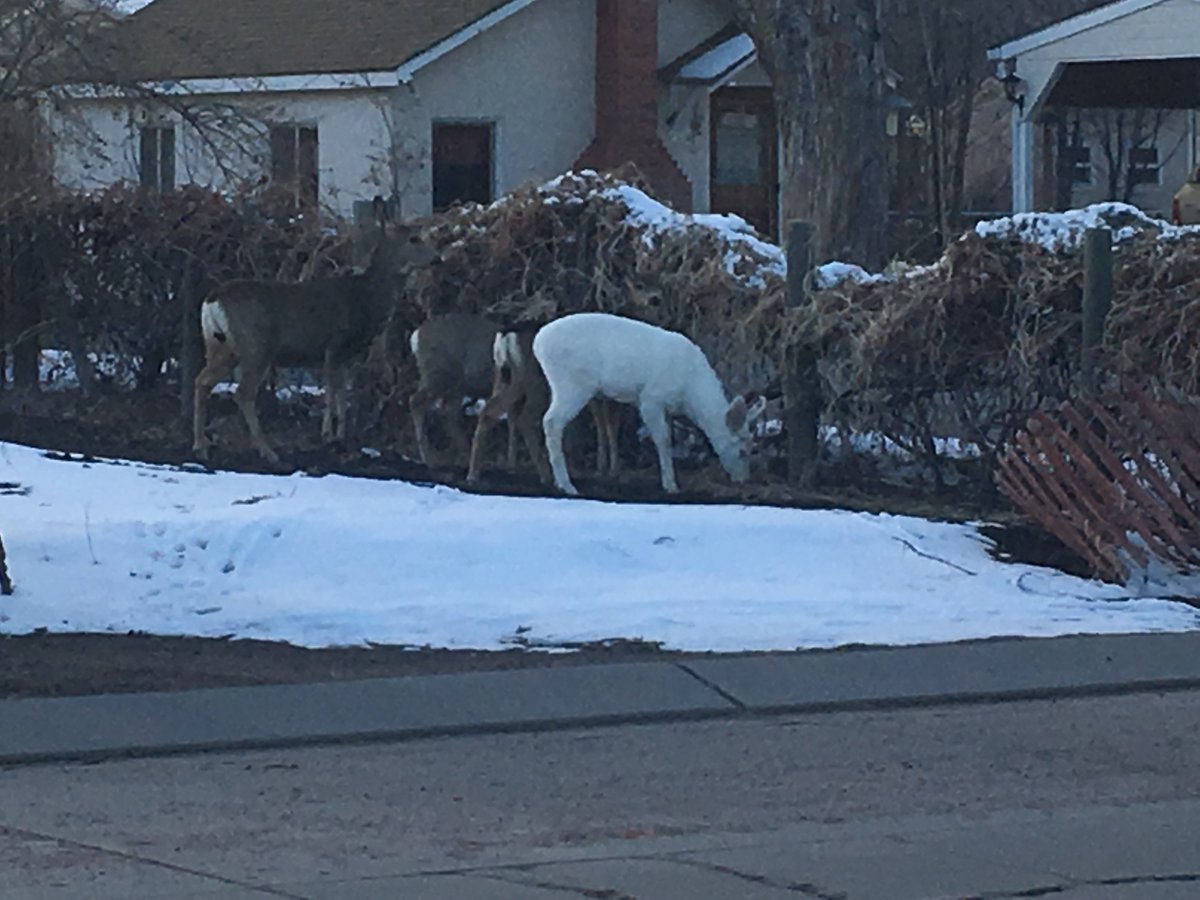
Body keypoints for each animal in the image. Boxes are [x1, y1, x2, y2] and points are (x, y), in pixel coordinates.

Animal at [192, 216, 439, 464]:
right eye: (414, 238)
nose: (437, 258)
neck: (365, 300)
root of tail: (213, 298)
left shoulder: (346, 356)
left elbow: (342, 394)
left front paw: (341, 436)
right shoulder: (335, 344)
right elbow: (332, 391)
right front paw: (329, 435)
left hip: (220, 346)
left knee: (202, 381)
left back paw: (201, 446)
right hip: (256, 346)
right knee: (243, 393)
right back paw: (267, 450)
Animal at [533, 312, 766, 495]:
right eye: (743, 450)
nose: (743, 480)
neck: (690, 392)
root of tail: (538, 344)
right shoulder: (650, 399)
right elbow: (663, 439)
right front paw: (671, 485)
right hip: (572, 384)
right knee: (551, 421)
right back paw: (566, 485)